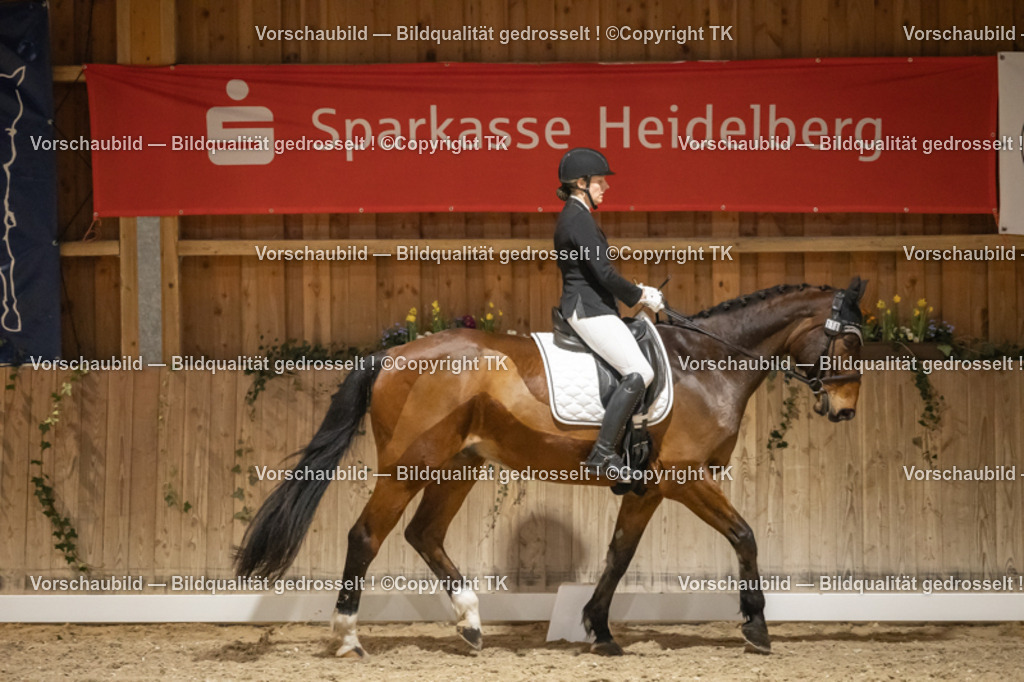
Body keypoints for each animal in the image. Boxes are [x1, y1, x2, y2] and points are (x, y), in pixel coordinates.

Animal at [235, 277, 868, 658]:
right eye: (854, 343)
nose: (845, 411)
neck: (705, 365)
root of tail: (393, 352)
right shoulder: (688, 479)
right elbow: (745, 535)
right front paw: (756, 627)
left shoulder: (648, 489)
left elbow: (618, 556)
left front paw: (599, 629)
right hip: (408, 467)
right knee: (367, 534)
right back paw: (348, 637)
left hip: (458, 468)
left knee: (424, 534)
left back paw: (470, 623)